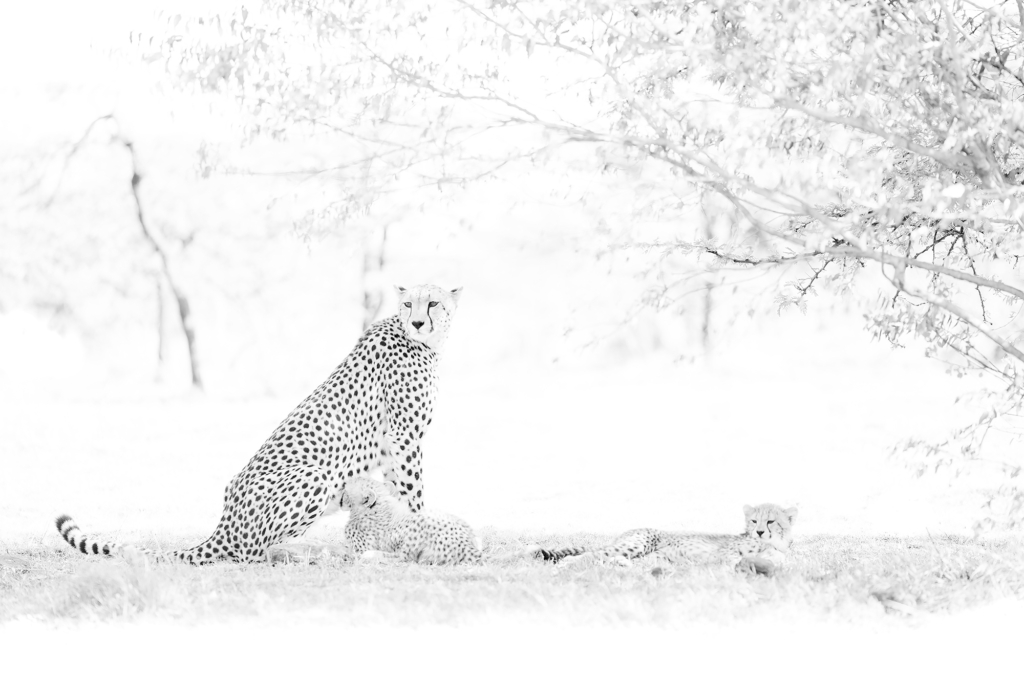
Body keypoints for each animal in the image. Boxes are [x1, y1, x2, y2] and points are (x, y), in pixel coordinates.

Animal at [56, 282, 464, 561]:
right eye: (409, 302)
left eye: (433, 302)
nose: (418, 321)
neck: (423, 343)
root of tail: (224, 522)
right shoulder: (404, 438)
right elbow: (413, 494)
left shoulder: (395, 446)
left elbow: (398, 495)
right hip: (316, 475)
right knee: (252, 553)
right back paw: (304, 554)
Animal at [342, 473, 481, 561]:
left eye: (347, 490)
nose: (349, 478)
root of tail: (468, 546)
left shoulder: (360, 548)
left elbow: (346, 552)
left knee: (404, 557)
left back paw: (372, 555)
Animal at [536, 499, 798, 569]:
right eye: (754, 521)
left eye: (771, 521)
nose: (760, 532)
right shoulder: (726, 555)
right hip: (638, 544)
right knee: (591, 555)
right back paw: (567, 564)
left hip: (654, 557)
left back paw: (621, 565)